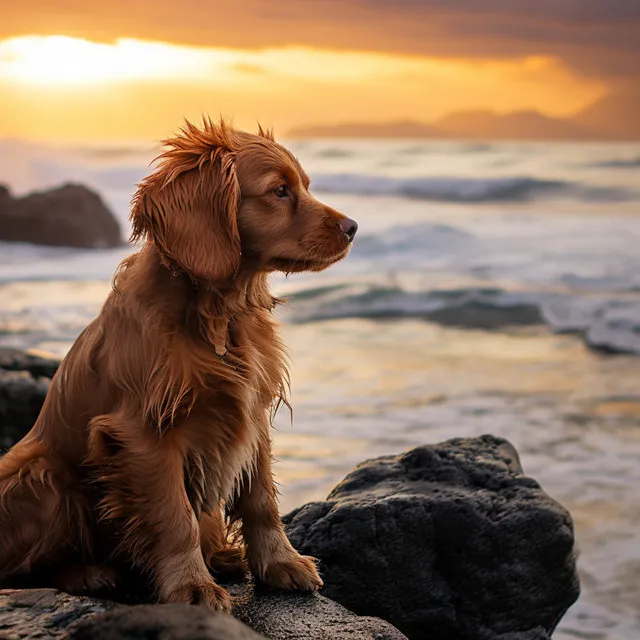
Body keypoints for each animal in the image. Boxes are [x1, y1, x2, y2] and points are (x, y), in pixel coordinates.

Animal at [0, 116, 358, 608]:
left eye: (303, 186)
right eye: (279, 191)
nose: (353, 227)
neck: (218, 317)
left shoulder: (251, 415)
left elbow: (261, 499)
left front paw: (279, 562)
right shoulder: (144, 434)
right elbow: (175, 517)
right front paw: (191, 585)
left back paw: (222, 555)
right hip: (40, 475)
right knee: (25, 566)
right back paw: (89, 573)